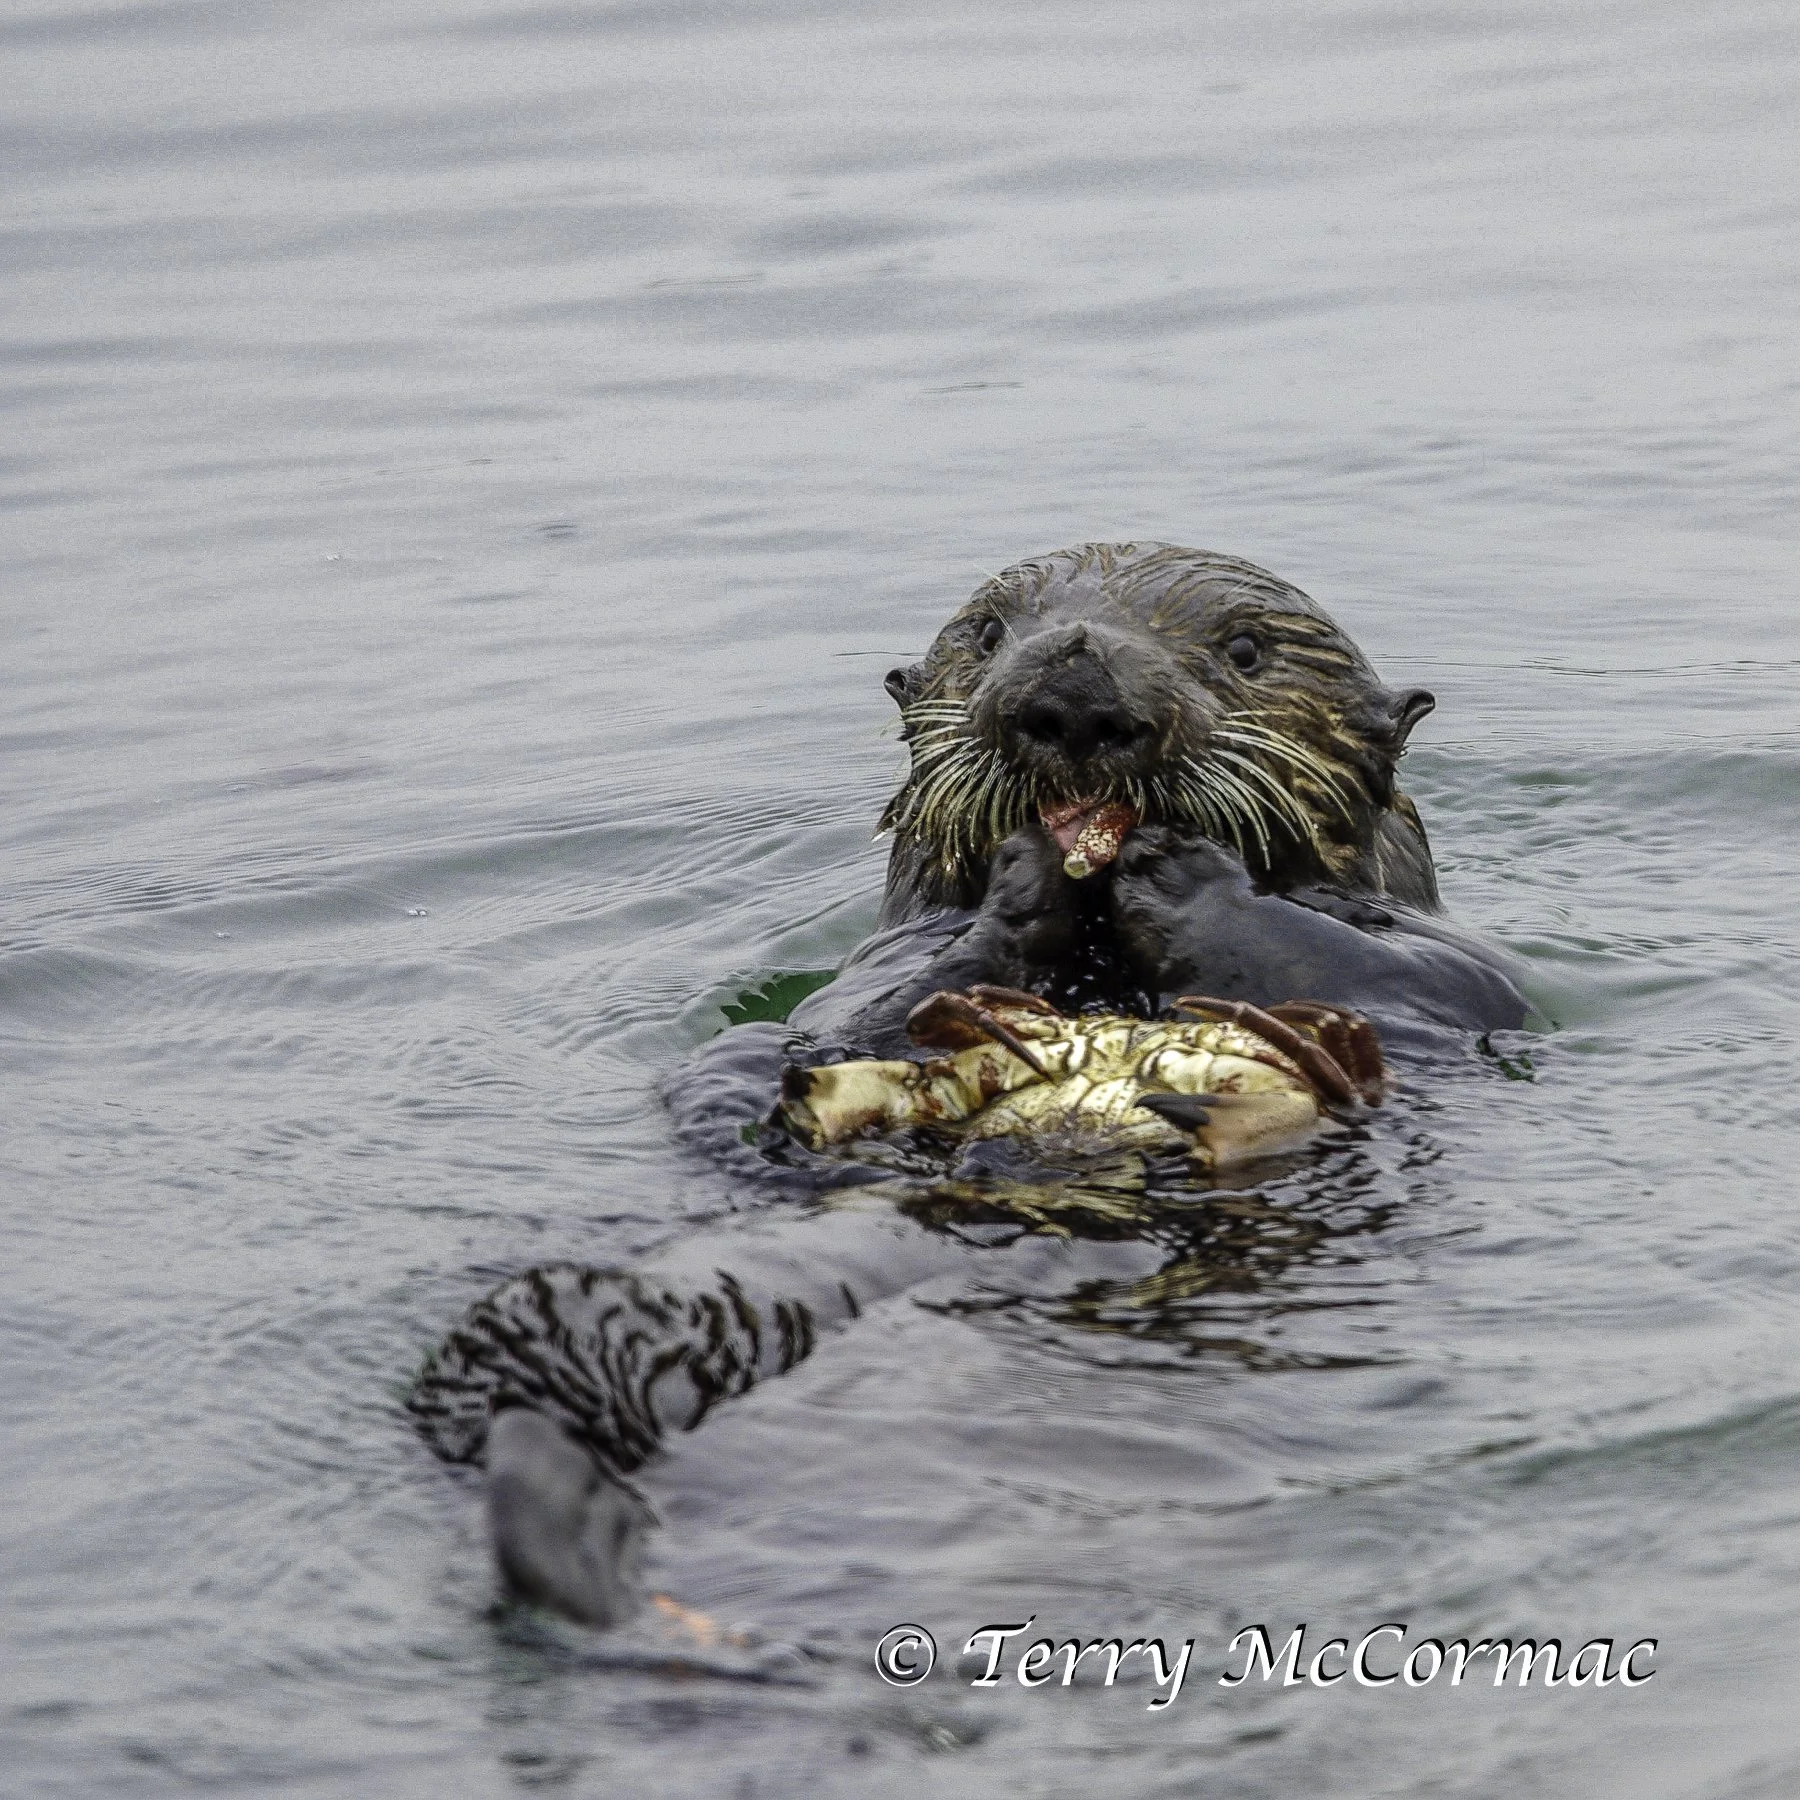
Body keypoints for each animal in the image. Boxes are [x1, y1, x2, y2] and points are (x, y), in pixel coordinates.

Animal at [408, 543, 1530, 1629]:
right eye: (990, 633)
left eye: (1247, 650)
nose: (1076, 683)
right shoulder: (871, 966)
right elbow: (845, 1020)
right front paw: (1024, 875)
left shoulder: (1454, 971)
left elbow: (1395, 973)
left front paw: (1176, 864)